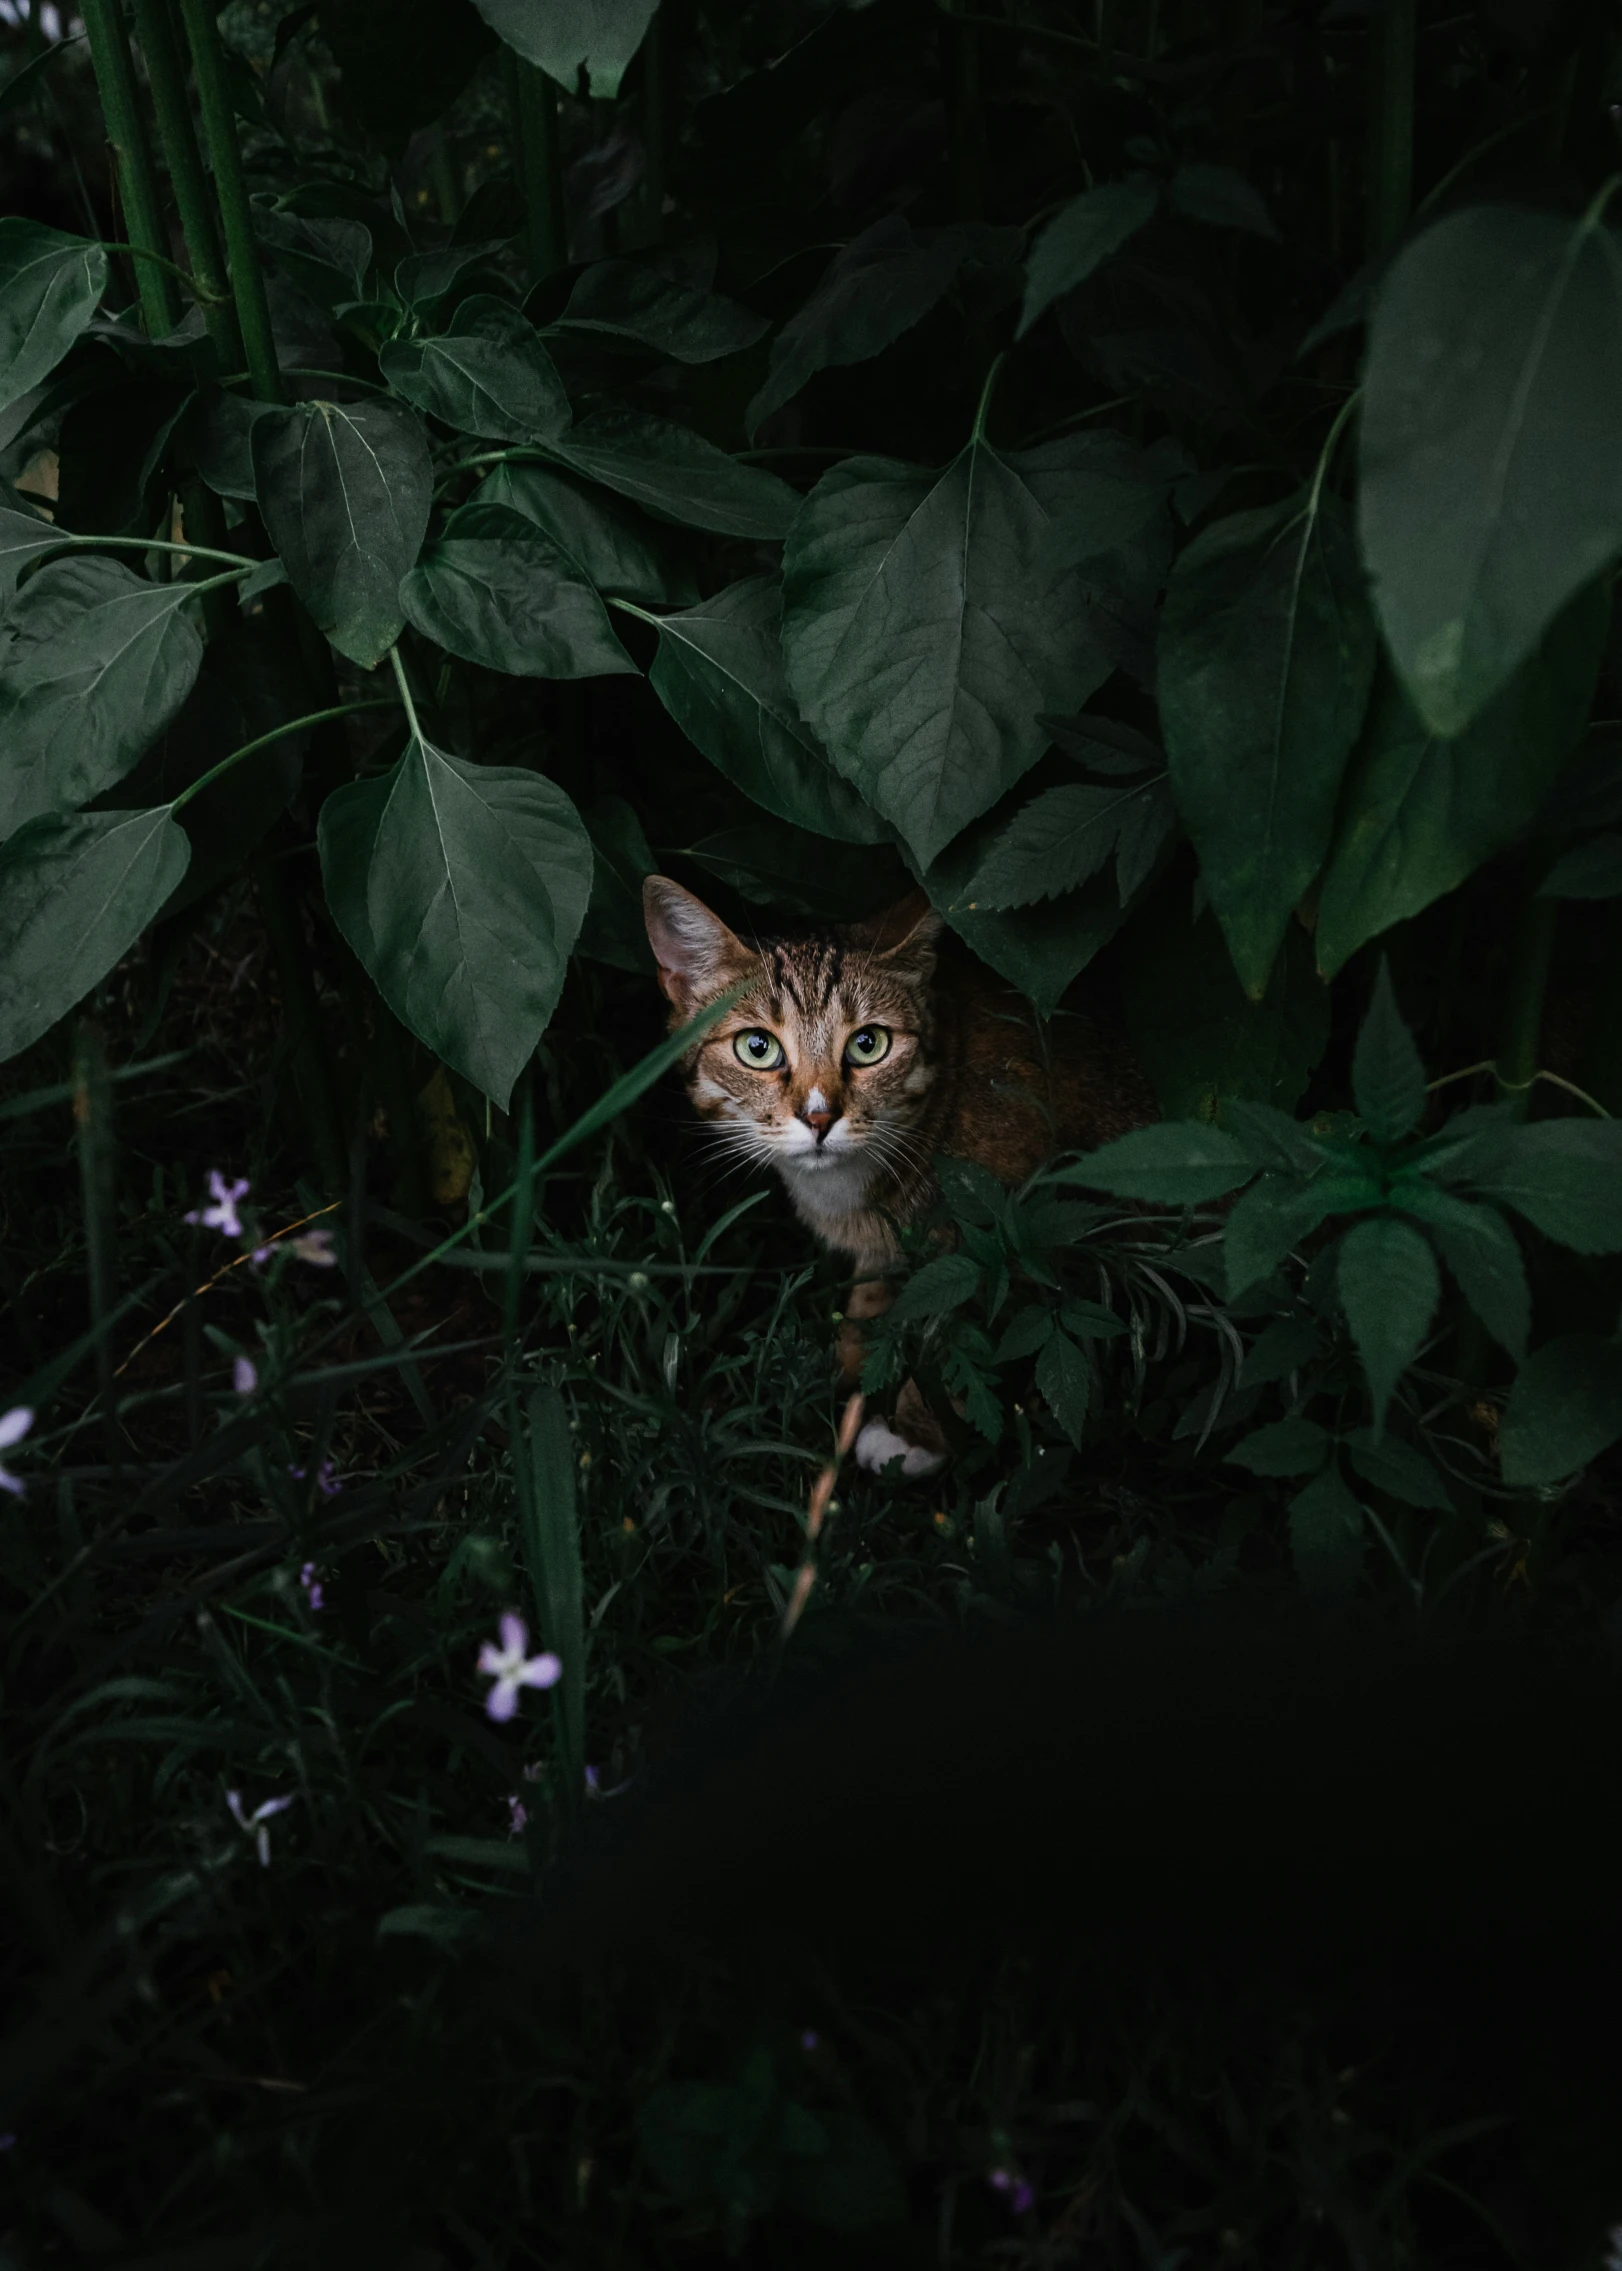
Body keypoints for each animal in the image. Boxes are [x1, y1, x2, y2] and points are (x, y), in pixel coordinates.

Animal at [636, 867, 1154, 1471]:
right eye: (757, 1047)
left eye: (869, 1044)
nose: (819, 1116)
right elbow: (873, 1300)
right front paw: (843, 1367)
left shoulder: (1018, 1232)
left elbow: (964, 1332)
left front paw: (916, 1432)